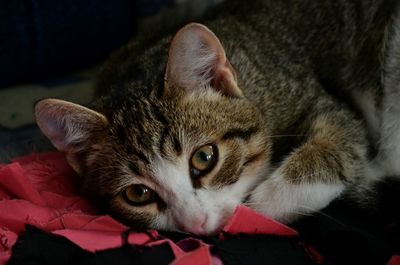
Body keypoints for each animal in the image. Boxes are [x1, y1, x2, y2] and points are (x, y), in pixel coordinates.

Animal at [33, 0, 400, 235]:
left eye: (204, 158)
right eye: (138, 194)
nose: (194, 223)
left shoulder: (318, 99)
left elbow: (339, 141)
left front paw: (261, 206)